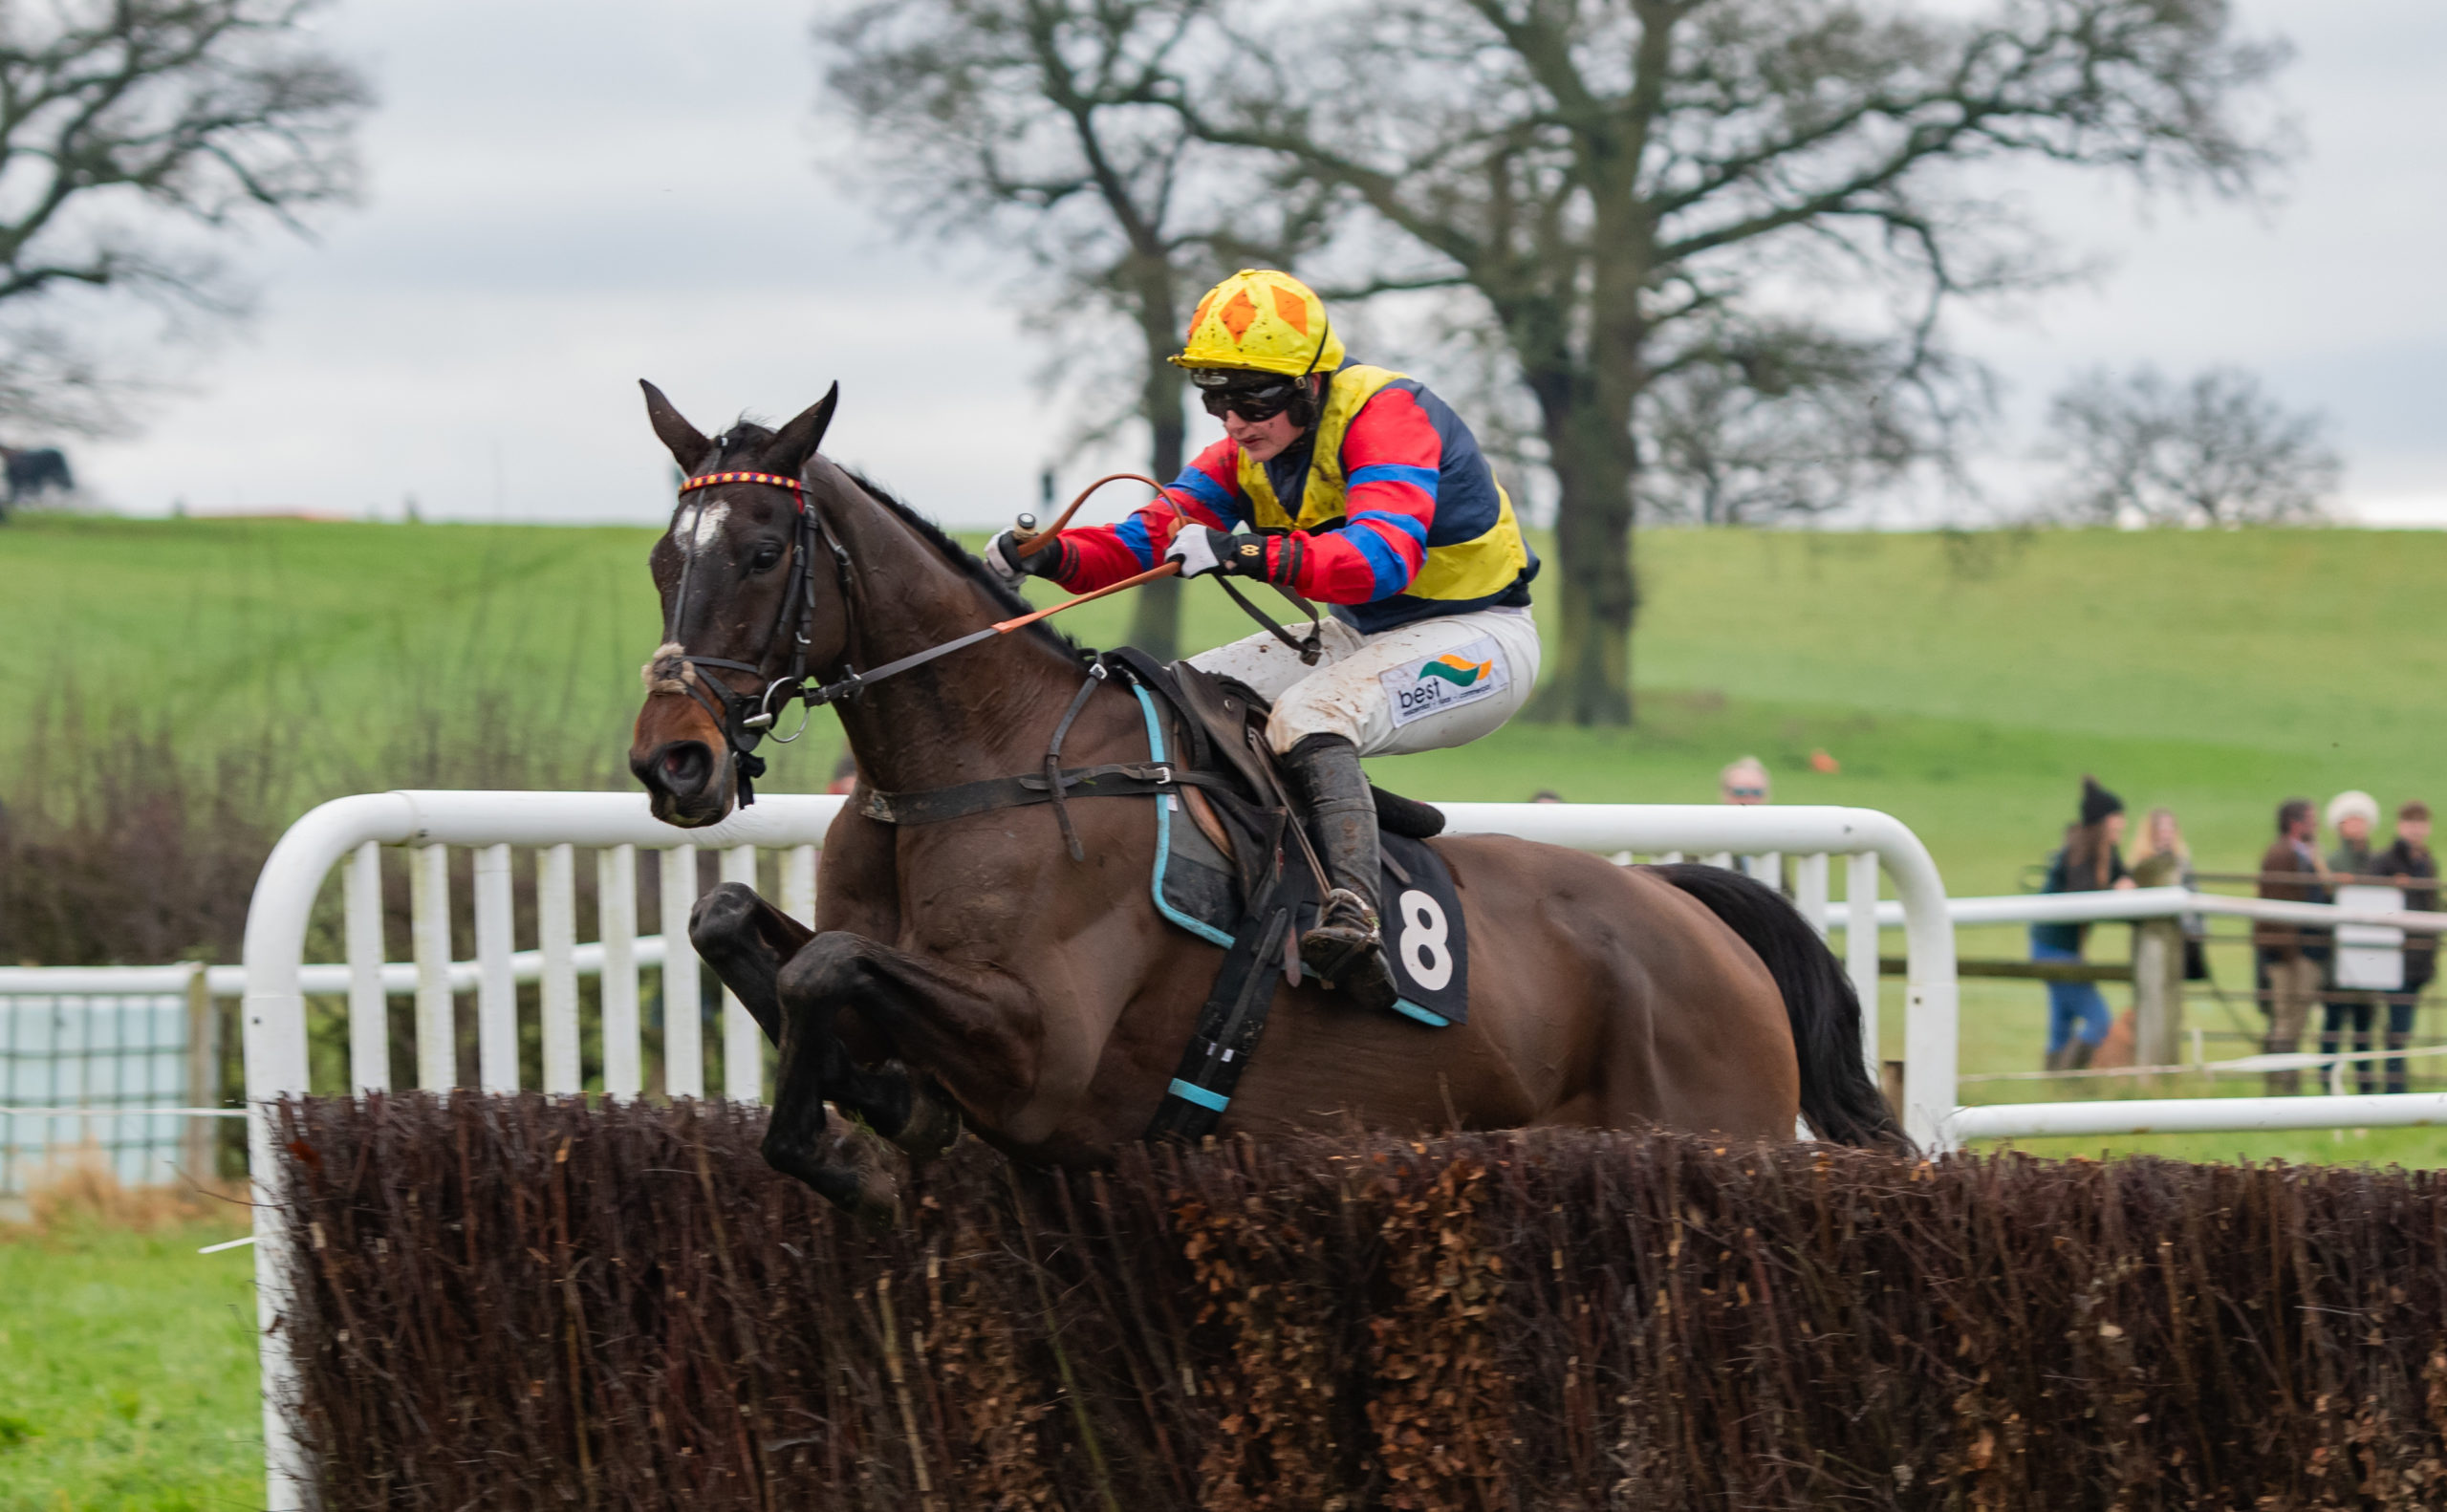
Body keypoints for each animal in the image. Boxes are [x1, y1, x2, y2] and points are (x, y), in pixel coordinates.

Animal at [626, 382, 1903, 1214]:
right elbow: (740, 924)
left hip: (1711, 1130)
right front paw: (879, 1096)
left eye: (761, 552)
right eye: (660, 558)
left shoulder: (1045, 1055)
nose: (671, 761)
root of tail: (1693, 915)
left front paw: (856, 1140)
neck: (974, 770)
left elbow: (824, 970)